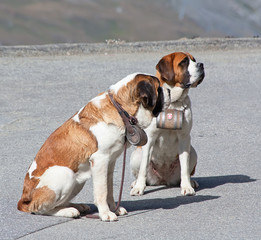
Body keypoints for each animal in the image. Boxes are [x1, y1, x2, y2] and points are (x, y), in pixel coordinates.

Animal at [17, 73, 165, 221]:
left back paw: (77, 206)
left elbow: (109, 189)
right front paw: (105, 213)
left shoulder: (110, 162)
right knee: (40, 208)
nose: (168, 91)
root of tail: (24, 198)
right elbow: (102, 191)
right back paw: (68, 211)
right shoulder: (100, 161)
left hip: (77, 182)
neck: (120, 109)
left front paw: (114, 209)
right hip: (65, 174)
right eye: (159, 89)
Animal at [129, 51, 204, 196]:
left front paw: (187, 187)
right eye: (184, 62)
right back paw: (135, 183)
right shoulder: (149, 138)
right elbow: (143, 168)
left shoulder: (184, 138)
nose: (201, 65)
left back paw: (191, 181)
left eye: (194, 60)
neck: (172, 102)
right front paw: (139, 187)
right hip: (136, 155)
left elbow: (185, 168)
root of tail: (163, 180)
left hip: (192, 152)